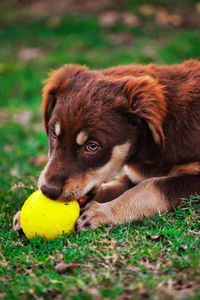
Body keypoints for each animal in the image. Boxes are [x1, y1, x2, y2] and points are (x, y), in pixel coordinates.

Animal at [13, 59, 200, 232]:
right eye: (53, 134)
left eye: (92, 146)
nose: (47, 191)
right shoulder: (134, 175)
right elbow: (110, 187)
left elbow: (150, 186)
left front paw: (102, 213)